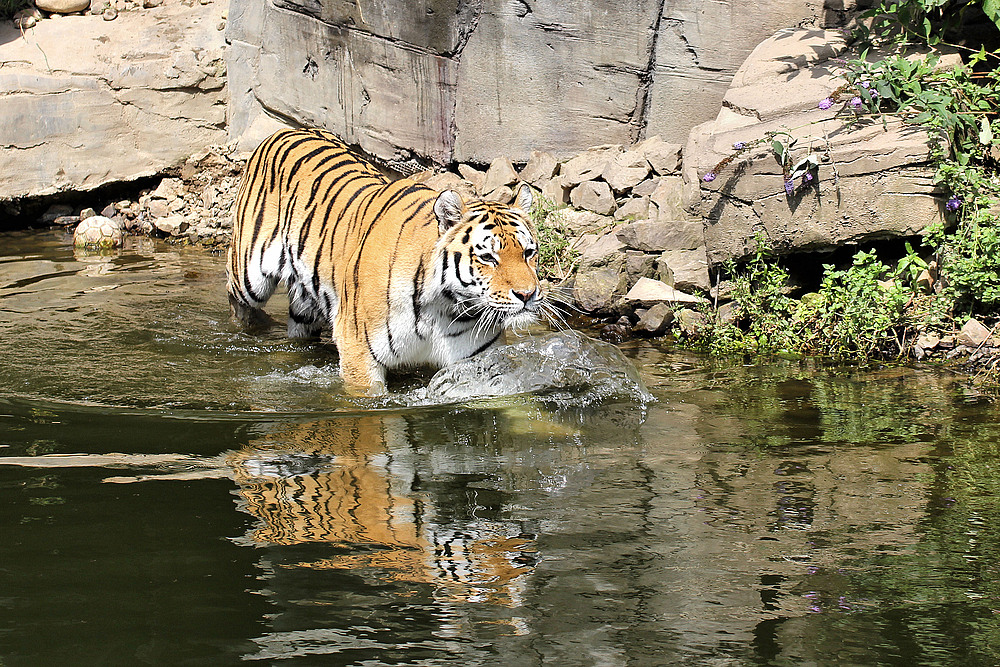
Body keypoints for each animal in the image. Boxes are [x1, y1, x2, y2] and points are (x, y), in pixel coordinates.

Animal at [228, 128, 544, 394]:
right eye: (488, 257)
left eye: (528, 253)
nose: (527, 295)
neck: (444, 306)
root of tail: (287, 129)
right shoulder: (358, 351)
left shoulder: (476, 360)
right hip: (249, 275)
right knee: (237, 299)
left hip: (306, 304)